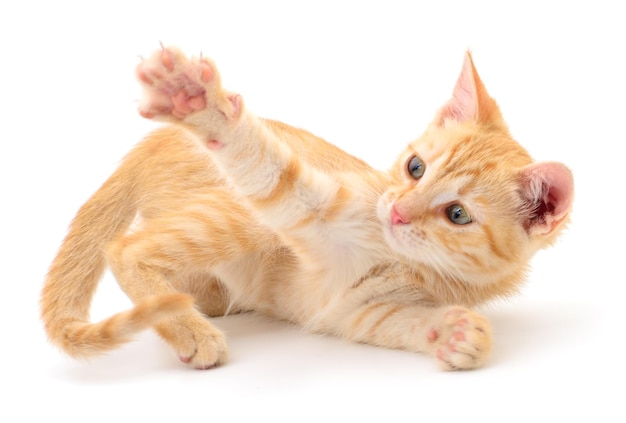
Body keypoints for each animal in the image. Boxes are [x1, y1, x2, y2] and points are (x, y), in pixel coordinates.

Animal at [39, 47, 572, 372]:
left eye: (457, 215)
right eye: (416, 167)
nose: (397, 212)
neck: (408, 265)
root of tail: (149, 144)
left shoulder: (357, 312)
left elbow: (395, 322)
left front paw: (457, 335)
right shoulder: (314, 210)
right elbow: (268, 166)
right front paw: (205, 106)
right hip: (238, 218)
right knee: (125, 249)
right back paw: (188, 329)